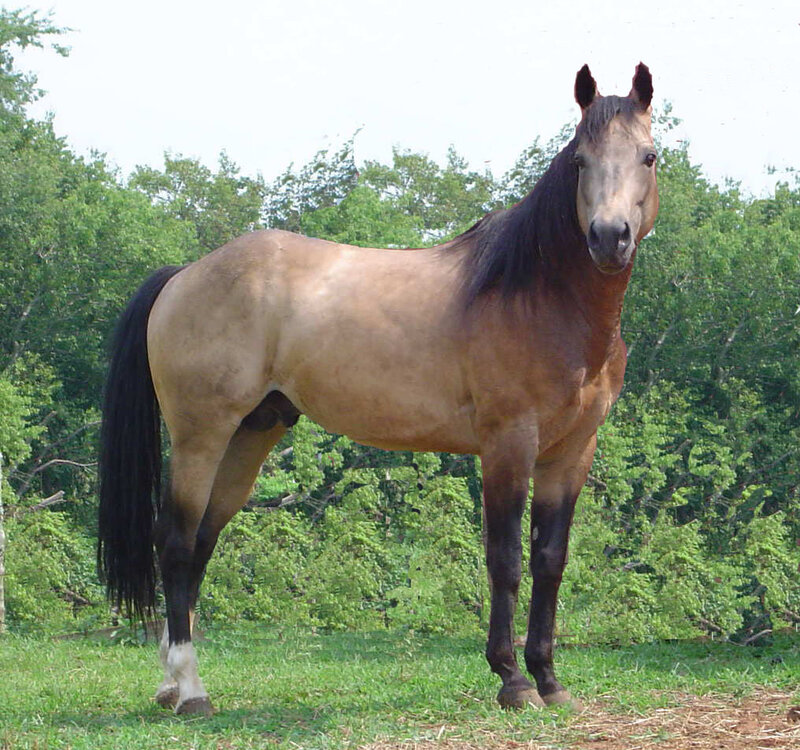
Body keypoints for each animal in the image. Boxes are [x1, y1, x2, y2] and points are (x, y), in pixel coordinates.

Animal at [98, 63, 658, 716]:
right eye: (579, 162)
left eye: (648, 156)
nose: (609, 237)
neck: (538, 294)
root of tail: (184, 275)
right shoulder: (508, 443)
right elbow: (505, 559)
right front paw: (512, 680)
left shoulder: (571, 452)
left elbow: (549, 561)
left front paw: (549, 680)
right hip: (200, 435)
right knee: (177, 542)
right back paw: (190, 691)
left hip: (249, 435)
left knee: (202, 543)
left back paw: (170, 682)